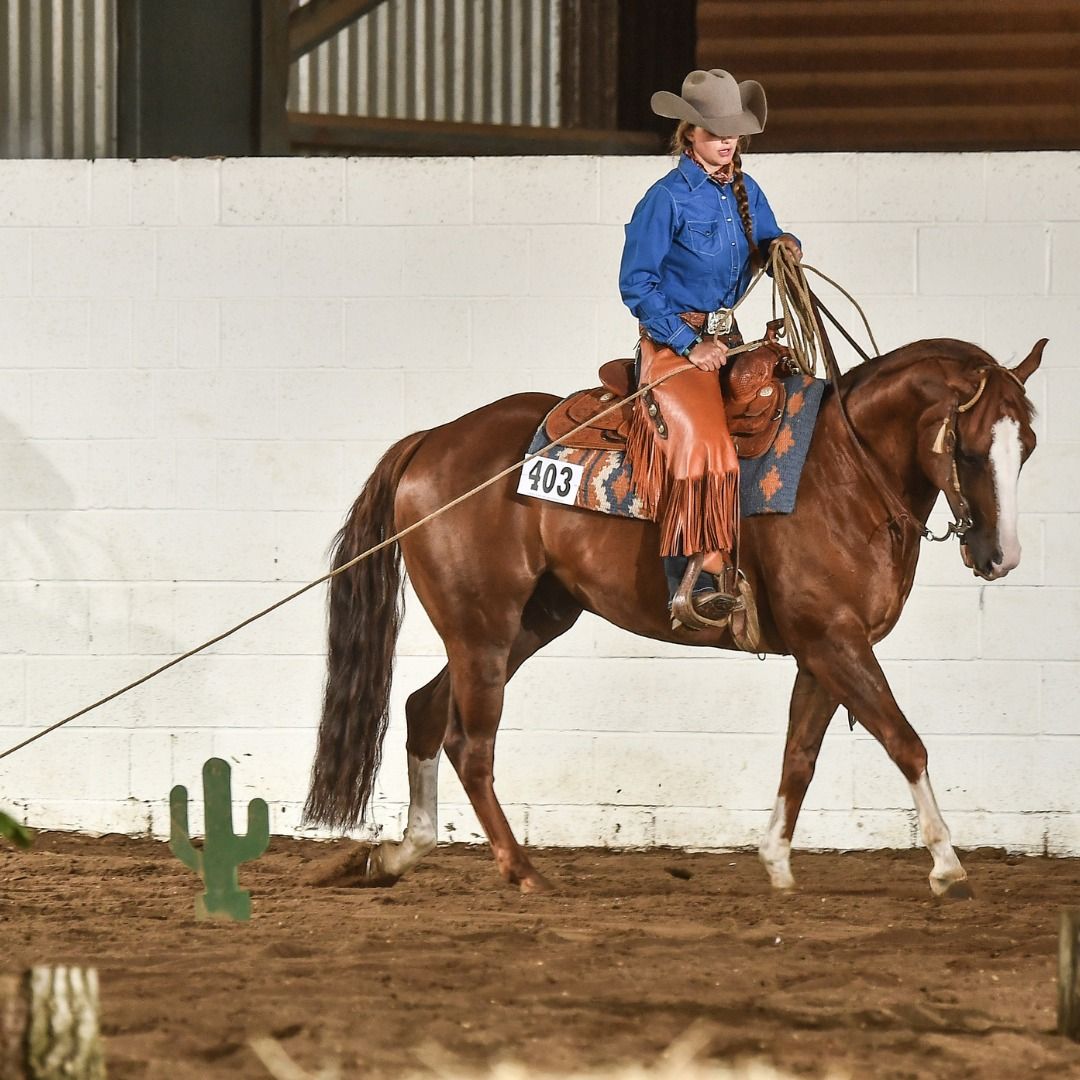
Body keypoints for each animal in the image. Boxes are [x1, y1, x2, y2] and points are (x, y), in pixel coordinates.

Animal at [304, 341, 1045, 898]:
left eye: (1029, 445)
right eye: (970, 448)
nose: (1000, 556)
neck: (846, 471)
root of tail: (430, 441)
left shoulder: (824, 649)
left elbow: (800, 755)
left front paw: (776, 861)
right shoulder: (835, 640)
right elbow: (905, 741)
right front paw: (947, 865)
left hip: (526, 623)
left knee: (425, 710)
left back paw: (400, 853)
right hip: (482, 628)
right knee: (470, 744)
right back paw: (521, 870)